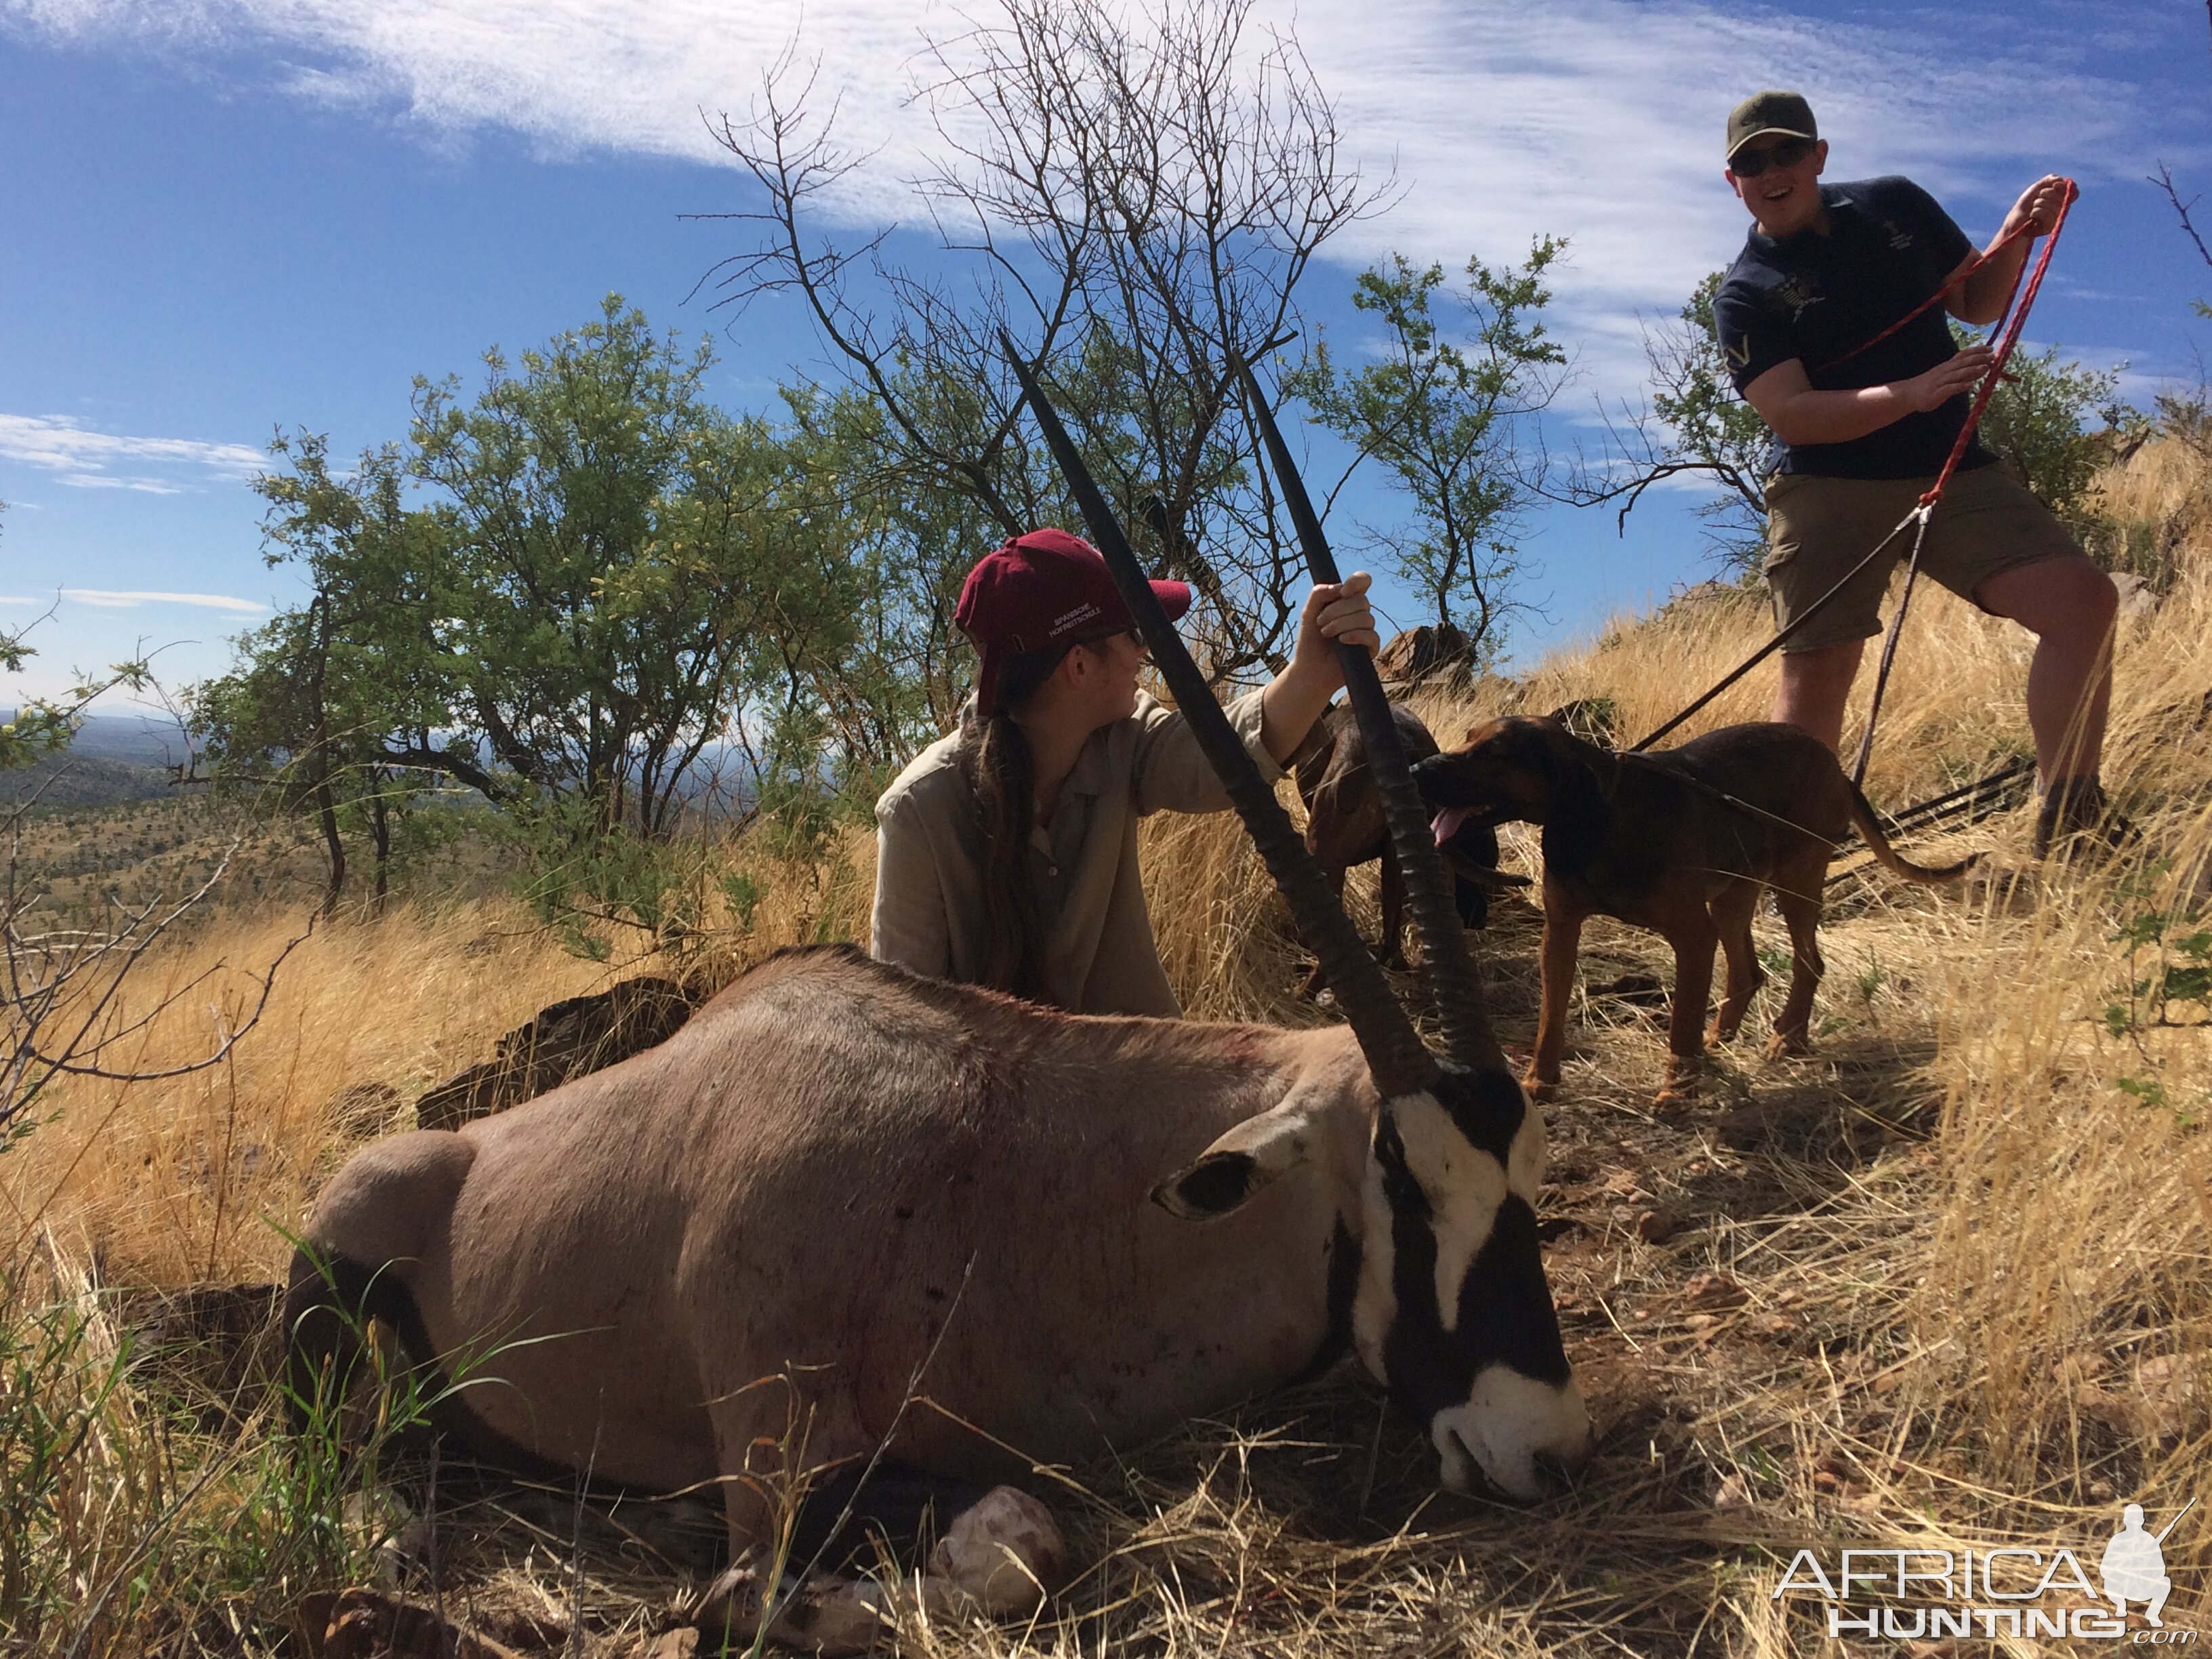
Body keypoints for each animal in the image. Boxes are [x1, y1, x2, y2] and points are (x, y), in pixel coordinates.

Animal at [1415, 716, 1973, 1097]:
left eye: (1491, 751)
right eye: (1466, 738)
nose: (1418, 767)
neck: (1598, 820)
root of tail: (1837, 767)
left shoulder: (1692, 935)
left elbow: (1680, 1018)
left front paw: (1677, 1090)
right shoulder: (1561, 931)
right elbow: (1551, 1018)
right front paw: (1538, 1082)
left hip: (1795, 882)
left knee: (1809, 961)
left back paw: (1786, 1038)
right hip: (1733, 896)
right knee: (1748, 972)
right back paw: (1719, 1039)